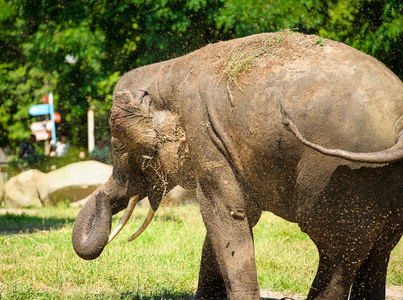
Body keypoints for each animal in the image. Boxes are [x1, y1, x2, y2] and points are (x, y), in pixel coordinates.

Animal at [72, 31, 403, 300]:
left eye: (117, 147)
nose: (102, 200)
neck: (167, 71)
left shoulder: (205, 137)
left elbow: (224, 214)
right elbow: (232, 219)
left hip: (340, 177)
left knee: (337, 251)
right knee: (379, 250)